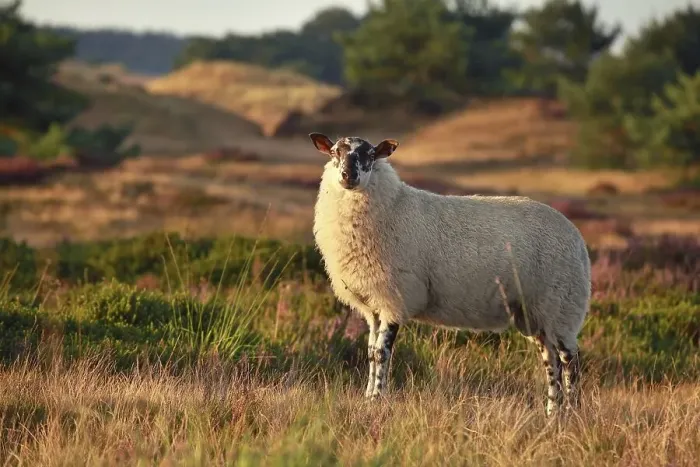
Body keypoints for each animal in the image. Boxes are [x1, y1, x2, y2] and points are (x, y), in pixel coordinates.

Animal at [308, 133, 591, 416]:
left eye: (370, 155)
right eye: (334, 152)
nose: (348, 176)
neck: (393, 206)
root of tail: (579, 241)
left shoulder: (396, 299)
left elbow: (381, 352)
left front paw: (378, 399)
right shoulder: (374, 306)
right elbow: (369, 352)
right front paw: (368, 398)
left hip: (562, 305)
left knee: (570, 360)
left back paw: (572, 412)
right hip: (537, 314)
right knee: (551, 362)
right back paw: (553, 414)